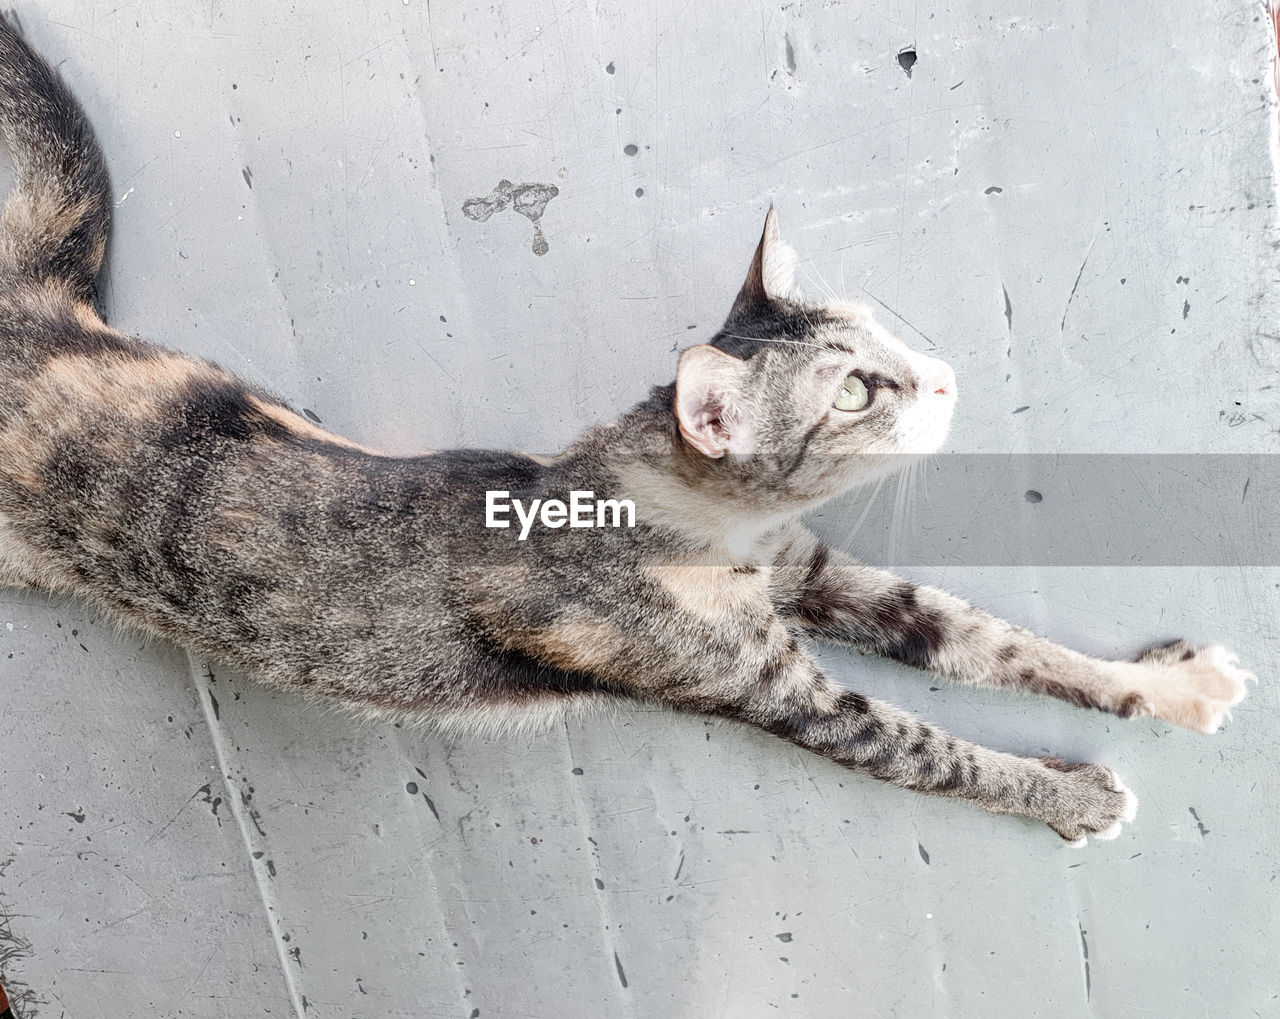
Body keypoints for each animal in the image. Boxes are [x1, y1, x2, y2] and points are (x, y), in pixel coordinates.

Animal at [0, 13, 1249, 844]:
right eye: (853, 389)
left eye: (876, 328)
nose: (939, 378)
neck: (711, 532)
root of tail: (33, 317)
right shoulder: (777, 691)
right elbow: (933, 751)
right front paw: (1071, 793)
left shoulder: (820, 572)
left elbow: (996, 642)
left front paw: (1173, 688)